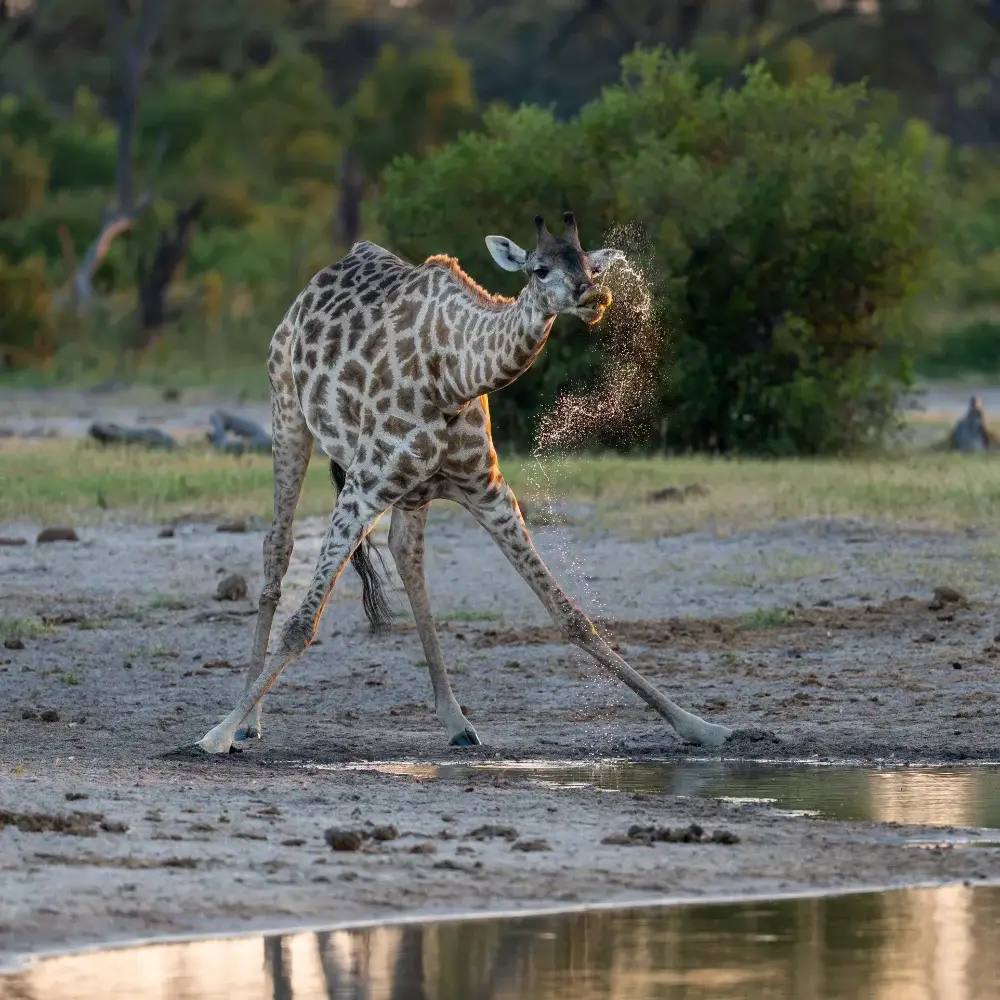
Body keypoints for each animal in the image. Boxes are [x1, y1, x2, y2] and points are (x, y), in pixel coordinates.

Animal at [195, 212, 733, 754]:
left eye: (591, 266)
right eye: (539, 269)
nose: (594, 296)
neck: (454, 376)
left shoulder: (488, 490)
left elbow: (570, 614)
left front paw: (699, 725)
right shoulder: (365, 485)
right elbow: (303, 624)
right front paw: (217, 733)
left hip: (409, 492)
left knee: (406, 553)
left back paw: (455, 720)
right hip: (288, 414)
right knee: (278, 543)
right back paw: (249, 717)